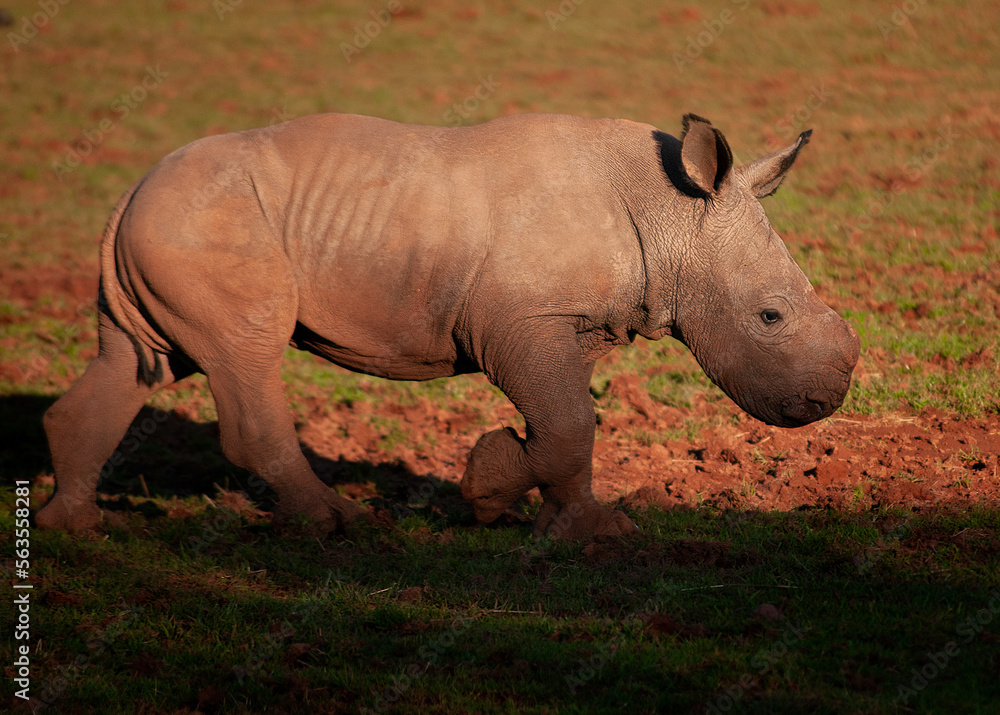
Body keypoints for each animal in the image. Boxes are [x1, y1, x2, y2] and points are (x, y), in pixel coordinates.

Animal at [37, 112, 859, 539]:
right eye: (770, 315)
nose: (827, 401)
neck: (670, 212)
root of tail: (134, 188)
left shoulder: (570, 325)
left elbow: (571, 426)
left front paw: (580, 525)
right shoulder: (521, 321)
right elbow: (567, 426)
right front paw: (494, 492)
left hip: (174, 226)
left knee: (137, 361)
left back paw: (73, 528)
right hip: (205, 223)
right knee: (246, 355)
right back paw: (340, 524)